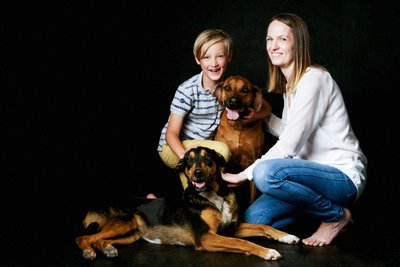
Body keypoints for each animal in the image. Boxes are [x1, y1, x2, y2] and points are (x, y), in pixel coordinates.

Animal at [75, 147, 300, 262]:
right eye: (189, 161)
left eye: (208, 158)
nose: (198, 173)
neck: (213, 196)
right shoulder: (206, 237)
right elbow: (241, 242)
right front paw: (267, 251)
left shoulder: (231, 228)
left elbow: (263, 226)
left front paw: (286, 236)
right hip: (125, 222)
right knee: (83, 237)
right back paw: (89, 251)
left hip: (131, 234)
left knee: (98, 239)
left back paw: (107, 249)